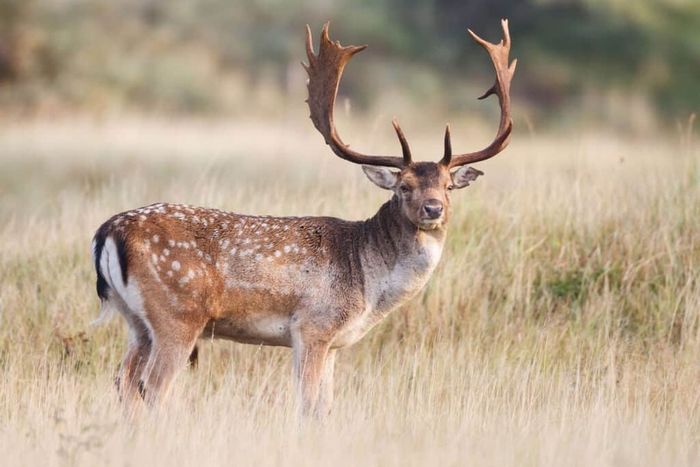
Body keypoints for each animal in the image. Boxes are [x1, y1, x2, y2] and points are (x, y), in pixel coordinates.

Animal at [91, 20, 516, 418]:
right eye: (404, 187)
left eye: (448, 186)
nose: (433, 209)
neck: (367, 283)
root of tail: (108, 231)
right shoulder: (313, 326)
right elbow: (309, 405)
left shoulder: (334, 344)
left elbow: (325, 407)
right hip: (177, 314)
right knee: (152, 387)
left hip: (136, 321)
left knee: (123, 381)